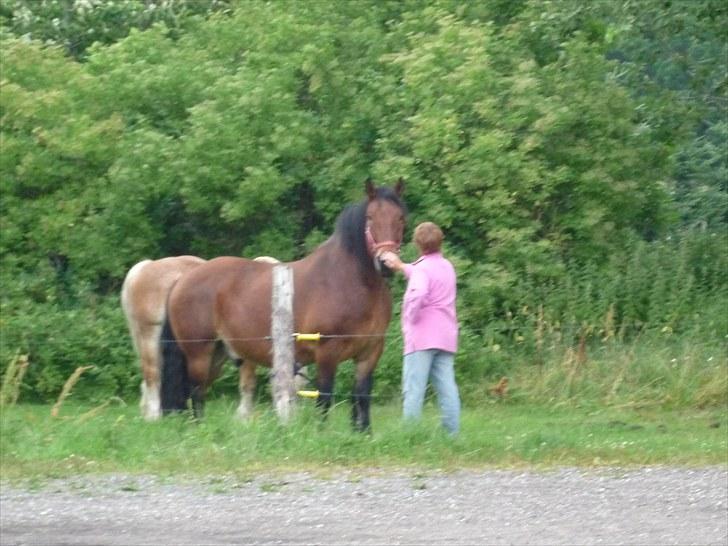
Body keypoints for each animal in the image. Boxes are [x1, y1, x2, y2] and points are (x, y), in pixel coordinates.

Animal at [161, 180, 406, 430]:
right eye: (370, 217)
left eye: (400, 217)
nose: (386, 263)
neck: (348, 281)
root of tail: (182, 279)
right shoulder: (327, 353)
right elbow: (325, 397)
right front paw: (321, 432)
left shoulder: (370, 352)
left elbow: (362, 396)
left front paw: (363, 433)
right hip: (199, 354)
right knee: (196, 393)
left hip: (217, 354)